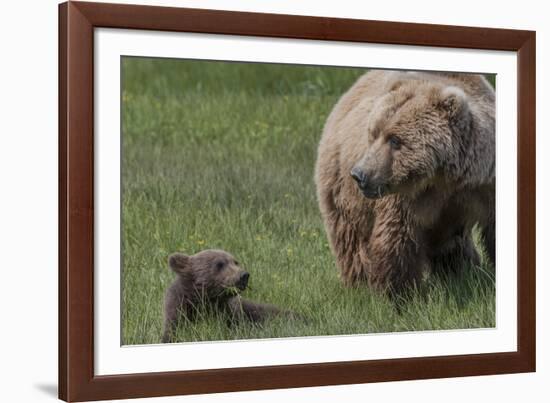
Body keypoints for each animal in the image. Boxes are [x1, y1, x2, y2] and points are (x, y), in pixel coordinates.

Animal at [316, 71, 498, 296]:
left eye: (395, 139)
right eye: (373, 133)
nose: (360, 174)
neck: (445, 177)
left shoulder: (484, 184)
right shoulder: (405, 198)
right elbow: (396, 237)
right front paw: (400, 293)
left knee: (452, 244)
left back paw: (462, 271)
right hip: (341, 190)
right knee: (350, 239)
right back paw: (360, 284)